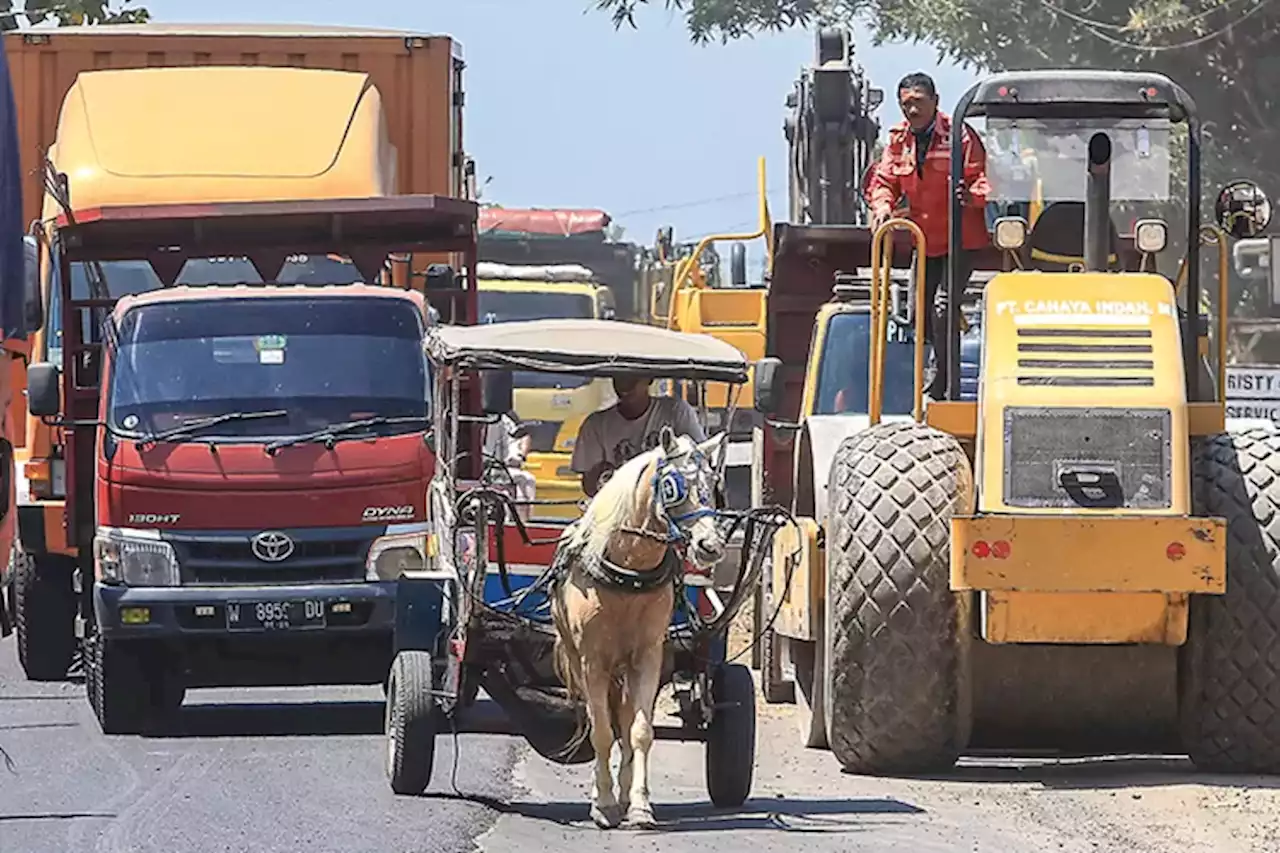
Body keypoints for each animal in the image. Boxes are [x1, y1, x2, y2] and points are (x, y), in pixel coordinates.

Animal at [552, 422, 732, 824]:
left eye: (713, 482)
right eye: (673, 485)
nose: (710, 546)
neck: (628, 571)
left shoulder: (648, 656)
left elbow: (639, 731)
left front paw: (638, 805)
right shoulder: (592, 661)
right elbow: (601, 732)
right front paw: (603, 803)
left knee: (623, 717)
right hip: (580, 659)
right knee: (600, 720)